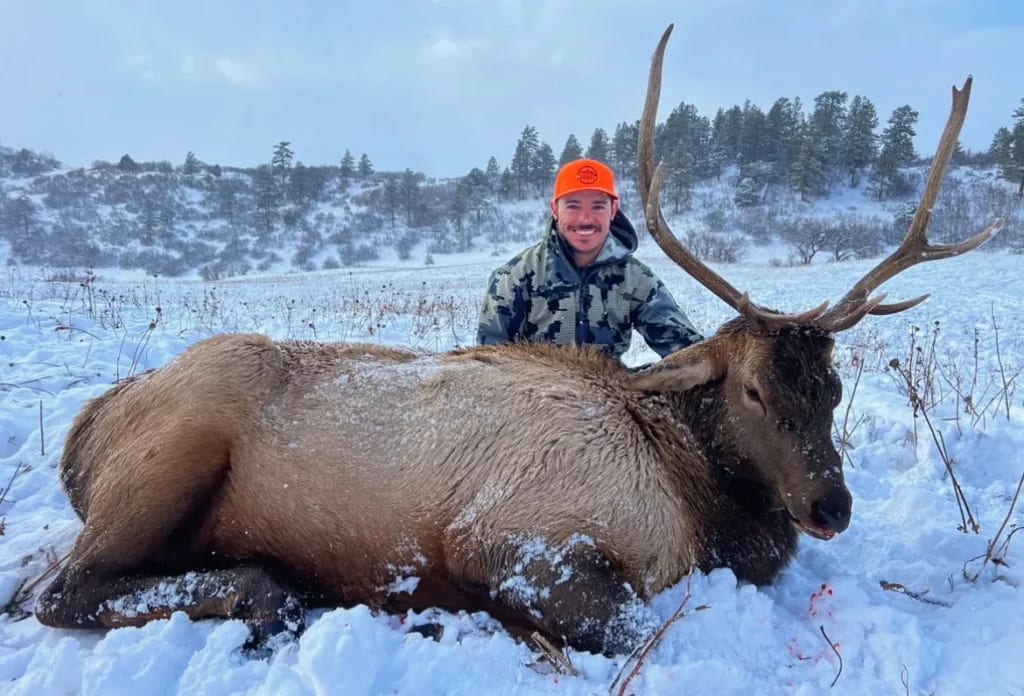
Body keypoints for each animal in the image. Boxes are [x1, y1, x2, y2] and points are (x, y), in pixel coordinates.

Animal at [34, 24, 1000, 657]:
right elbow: (635, 625)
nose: (831, 505)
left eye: (832, 388)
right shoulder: (506, 535)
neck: (700, 509)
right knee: (59, 590)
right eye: (756, 387)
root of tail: (84, 430)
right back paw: (280, 593)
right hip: (176, 447)